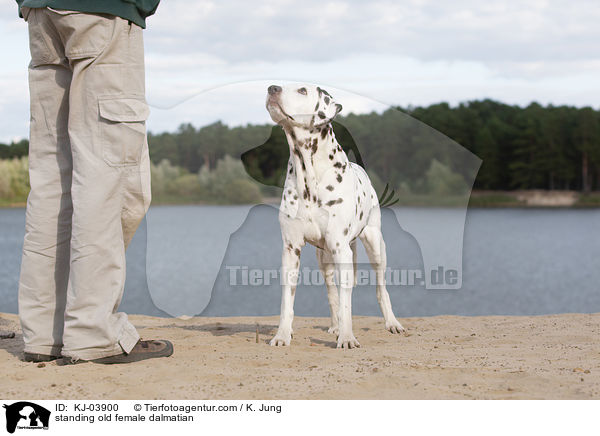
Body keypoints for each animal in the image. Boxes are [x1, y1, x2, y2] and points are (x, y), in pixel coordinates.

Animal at [266, 83, 404, 350]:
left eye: (302, 90)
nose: (271, 88)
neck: (309, 176)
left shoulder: (342, 249)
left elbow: (347, 301)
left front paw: (348, 337)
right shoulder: (290, 250)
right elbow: (287, 301)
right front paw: (282, 334)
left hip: (375, 247)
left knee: (381, 289)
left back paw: (392, 323)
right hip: (324, 259)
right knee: (332, 294)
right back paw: (335, 325)